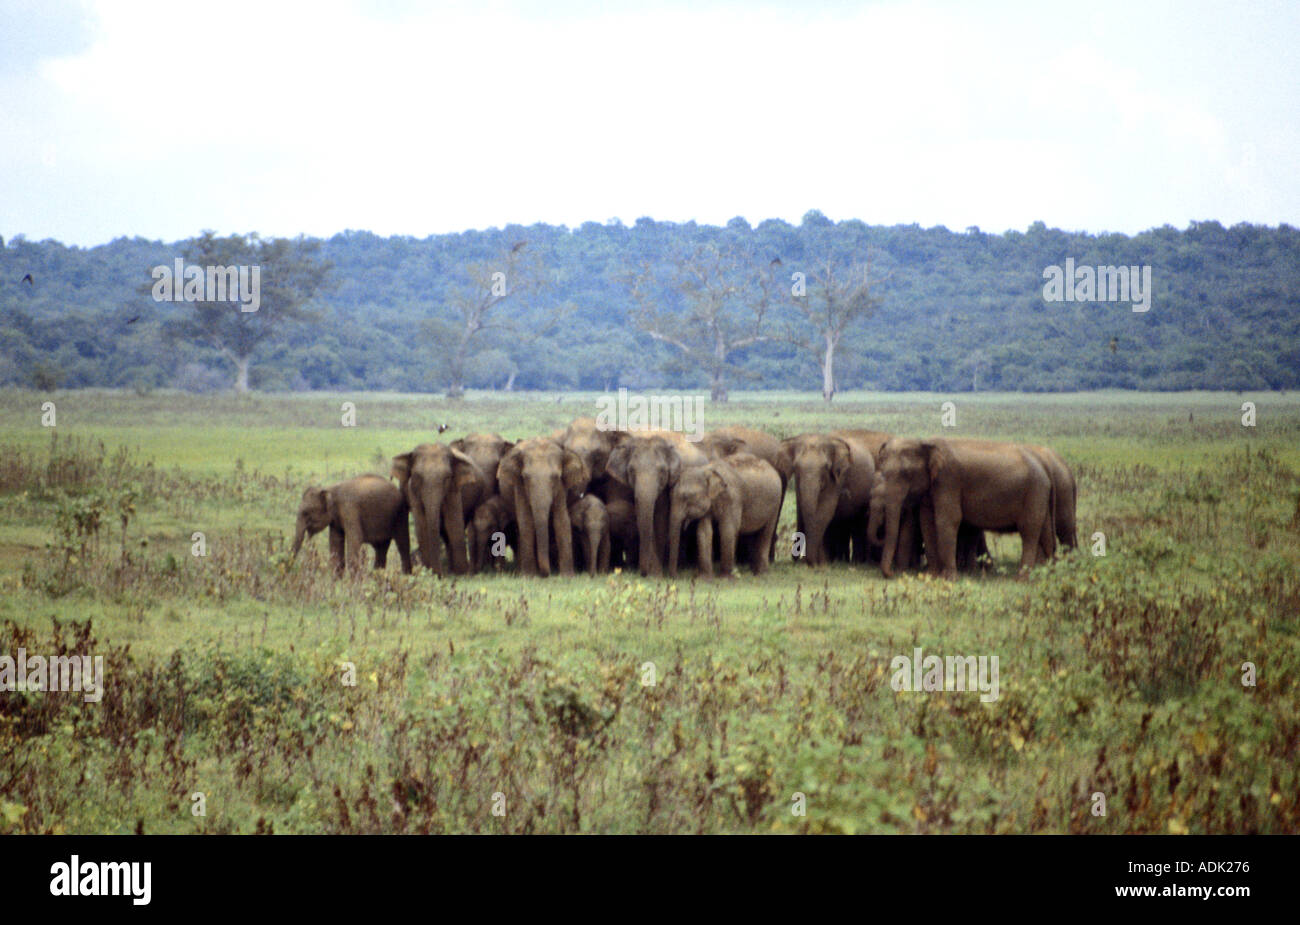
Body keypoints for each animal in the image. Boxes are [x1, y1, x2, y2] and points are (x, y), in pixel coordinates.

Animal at [390, 441, 488, 576]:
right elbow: (422, 525)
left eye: (447, 477)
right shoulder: (412, 491)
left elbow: (453, 523)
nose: (438, 574)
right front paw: (430, 572)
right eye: (417, 476)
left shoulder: (453, 488)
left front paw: (462, 573)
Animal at [493, 436, 587, 576]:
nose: (546, 574)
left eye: (556, 477)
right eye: (526, 477)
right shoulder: (519, 485)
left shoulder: (561, 487)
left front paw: (568, 576)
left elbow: (562, 521)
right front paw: (529, 576)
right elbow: (526, 520)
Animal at [608, 428, 712, 574]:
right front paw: (654, 572)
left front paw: (656, 573)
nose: (643, 573)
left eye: (662, 471)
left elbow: (660, 517)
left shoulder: (666, 485)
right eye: (631, 471)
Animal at [774, 431, 889, 563]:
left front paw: (819, 563)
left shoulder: (837, 476)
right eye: (796, 466)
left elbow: (825, 510)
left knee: (857, 523)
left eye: (825, 467)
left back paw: (855, 562)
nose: (797, 558)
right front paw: (820, 562)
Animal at [868, 439, 1050, 576]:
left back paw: (1022, 579)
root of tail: (1043, 466)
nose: (892, 574)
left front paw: (948, 578)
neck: (924, 443)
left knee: (1029, 531)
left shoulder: (949, 479)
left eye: (906, 474)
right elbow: (927, 523)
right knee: (1040, 533)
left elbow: (947, 520)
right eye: (881, 470)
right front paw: (931, 576)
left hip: (1035, 491)